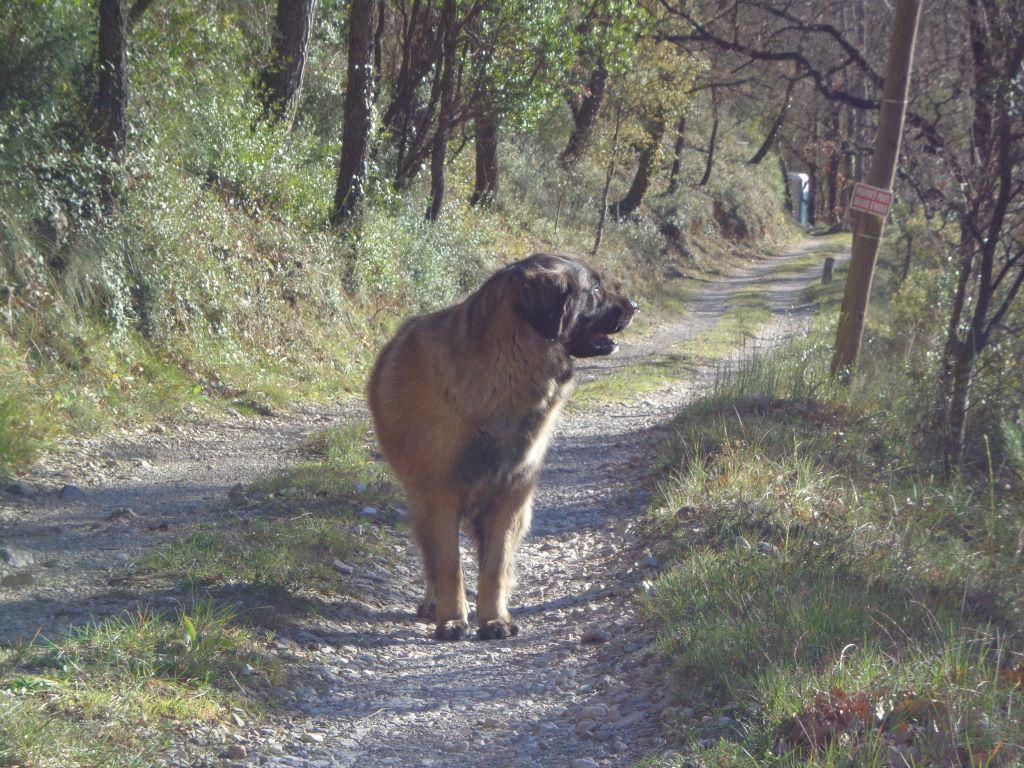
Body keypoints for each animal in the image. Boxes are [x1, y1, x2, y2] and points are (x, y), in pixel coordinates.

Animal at [368, 253, 634, 643]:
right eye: (595, 289)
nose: (634, 306)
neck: (503, 366)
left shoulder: (511, 495)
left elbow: (495, 565)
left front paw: (494, 618)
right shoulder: (440, 494)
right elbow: (448, 564)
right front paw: (453, 619)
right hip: (419, 498)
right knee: (430, 556)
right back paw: (434, 604)